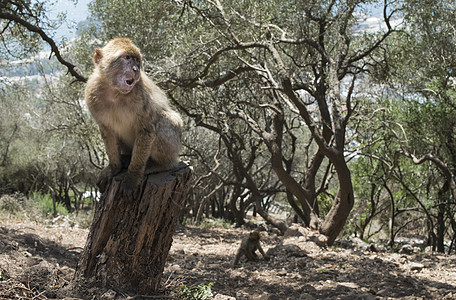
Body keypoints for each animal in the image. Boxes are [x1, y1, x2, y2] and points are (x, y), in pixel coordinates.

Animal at [84, 37, 183, 197]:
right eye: (127, 58)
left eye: (137, 60)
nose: (136, 69)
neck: (115, 92)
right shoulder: (92, 94)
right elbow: (107, 132)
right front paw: (114, 168)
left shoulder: (142, 96)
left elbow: (147, 128)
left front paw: (133, 176)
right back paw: (125, 159)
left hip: (175, 145)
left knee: (162, 121)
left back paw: (160, 164)